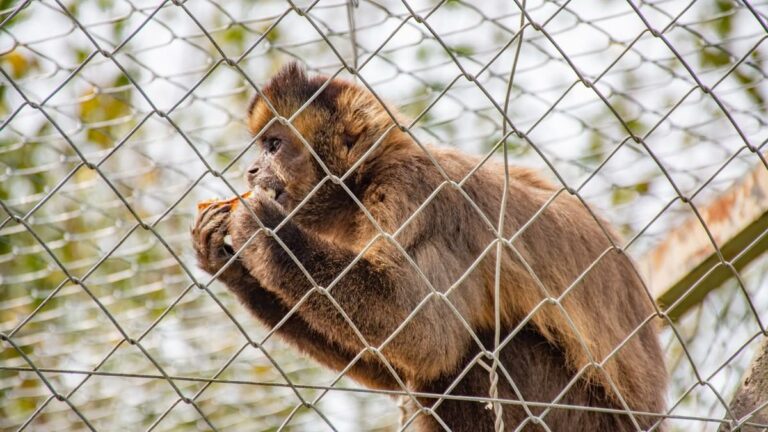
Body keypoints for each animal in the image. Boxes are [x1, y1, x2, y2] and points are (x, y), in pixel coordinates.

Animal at [191, 63, 667, 431]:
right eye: (262, 148)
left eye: (274, 145)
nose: (252, 171)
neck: (363, 184)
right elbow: (396, 364)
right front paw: (230, 266)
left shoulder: (413, 191)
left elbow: (428, 337)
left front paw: (264, 231)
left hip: (578, 416)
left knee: (473, 351)